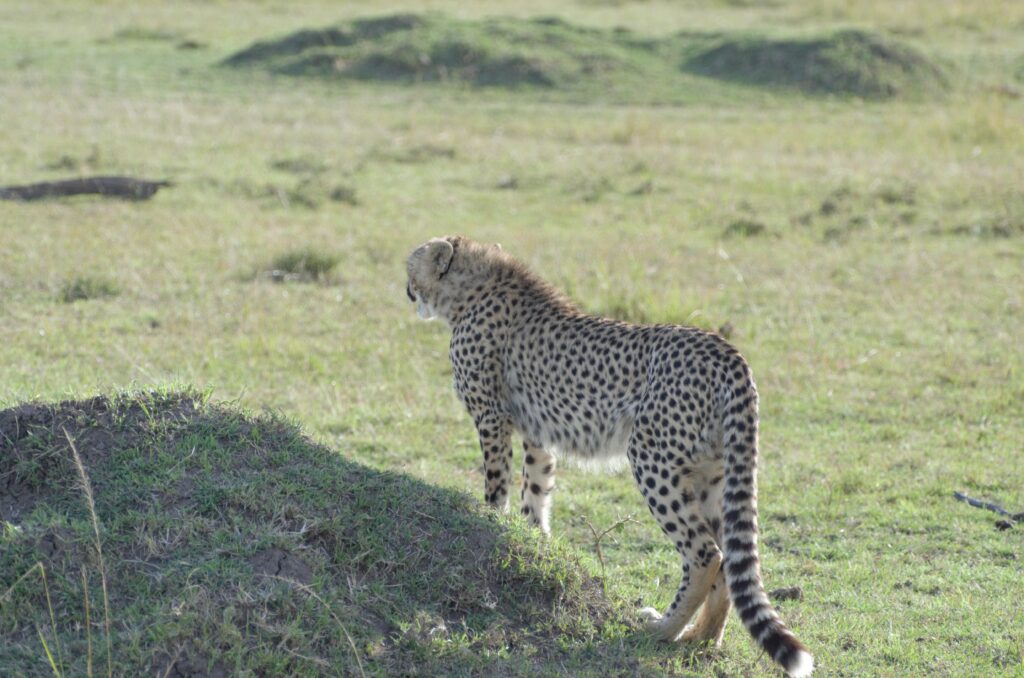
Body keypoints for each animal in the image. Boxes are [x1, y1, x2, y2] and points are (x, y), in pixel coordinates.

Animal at [405, 235, 814, 677]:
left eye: (410, 265)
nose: (406, 289)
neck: (473, 288)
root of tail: (727, 351)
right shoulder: (538, 433)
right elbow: (537, 494)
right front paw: (534, 543)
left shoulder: (492, 417)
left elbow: (497, 487)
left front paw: (493, 520)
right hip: (713, 474)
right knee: (727, 561)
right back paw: (700, 638)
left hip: (652, 457)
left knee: (706, 554)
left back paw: (660, 630)